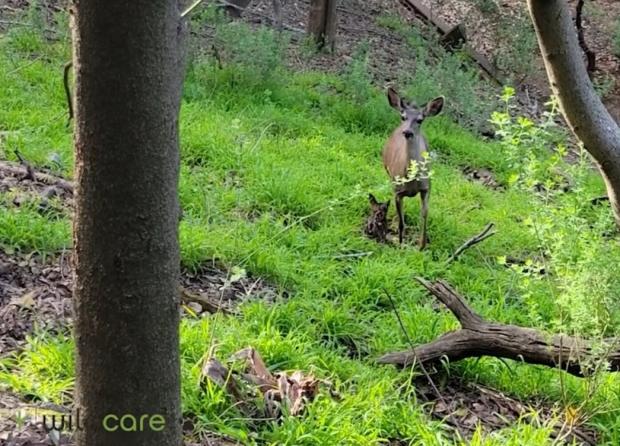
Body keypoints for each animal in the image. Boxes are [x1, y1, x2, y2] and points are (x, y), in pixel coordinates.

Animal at [380, 87, 444, 247]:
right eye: (403, 117)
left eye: (420, 120)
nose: (407, 132)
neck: (412, 181)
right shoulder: (397, 190)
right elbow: (401, 222)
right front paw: (400, 244)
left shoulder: (427, 187)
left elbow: (424, 216)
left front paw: (422, 246)